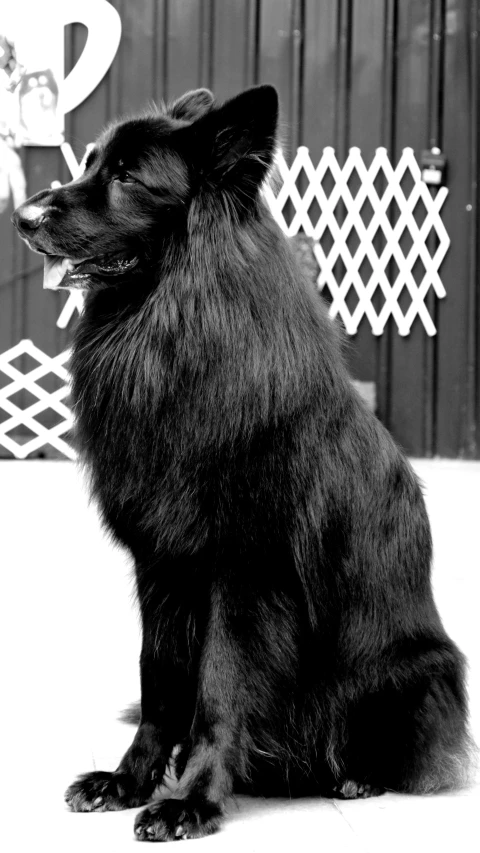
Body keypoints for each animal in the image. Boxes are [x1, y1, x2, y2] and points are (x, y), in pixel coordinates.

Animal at [13, 85, 474, 840]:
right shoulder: (161, 567)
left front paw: (192, 799)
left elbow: (218, 689)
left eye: (128, 177)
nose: (21, 217)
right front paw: (131, 780)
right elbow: (160, 683)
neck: (173, 320)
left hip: (415, 672)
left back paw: (355, 775)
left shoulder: (244, 573)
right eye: (91, 163)